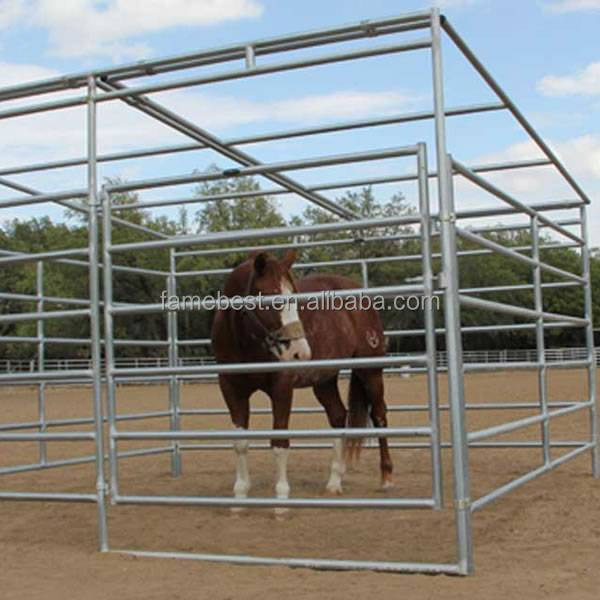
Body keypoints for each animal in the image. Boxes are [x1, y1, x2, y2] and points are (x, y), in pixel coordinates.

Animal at [211, 248, 394, 516]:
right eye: (272, 299)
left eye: (294, 298)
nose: (301, 352)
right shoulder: (231, 391)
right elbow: (240, 443)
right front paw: (240, 498)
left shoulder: (281, 388)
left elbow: (279, 442)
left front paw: (281, 501)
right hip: (324, 381)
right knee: (339, 417)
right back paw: (334, 482)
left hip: (369, 371)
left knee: (379, 415)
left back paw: (387, 478)